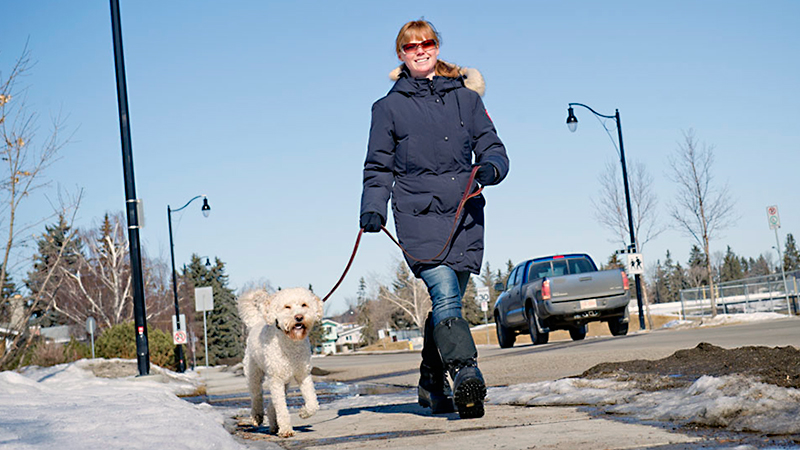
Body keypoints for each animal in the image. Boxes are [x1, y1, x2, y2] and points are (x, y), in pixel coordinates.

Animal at [238, 286, 322, 438]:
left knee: (271, 405)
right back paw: (257, 416)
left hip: (285, 382)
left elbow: (313, 402)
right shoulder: (276, 379)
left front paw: (304, 412)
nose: (299, 317)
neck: (291, 343)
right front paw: (286, 430)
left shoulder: (303, 375)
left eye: (304, 305)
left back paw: (274, 424)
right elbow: (282, 409)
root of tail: (255, 323)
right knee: (257, 396)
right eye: (287, 307)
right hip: (254, 374)